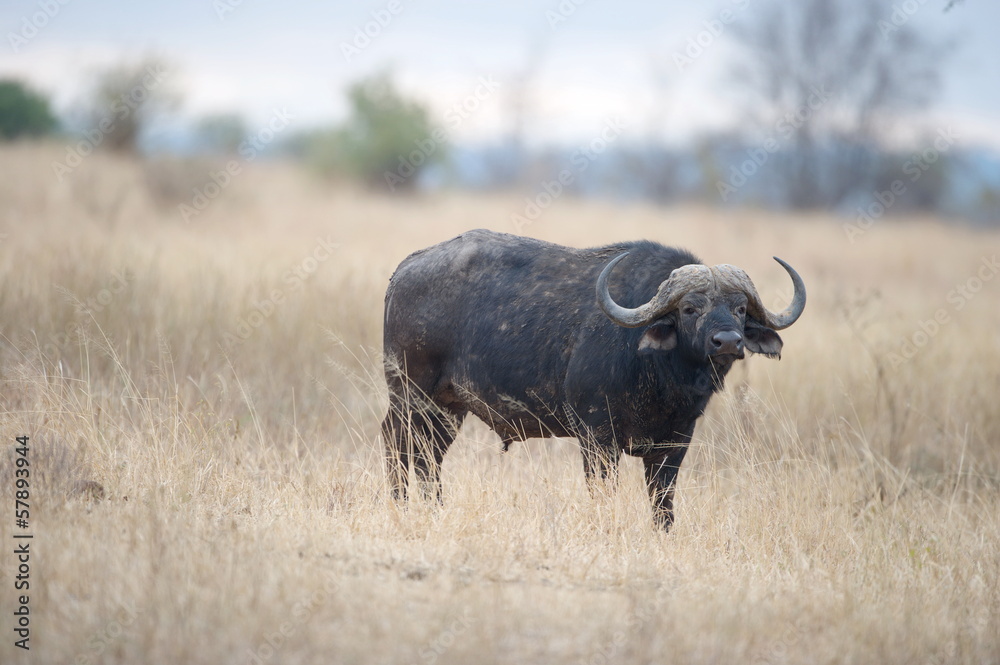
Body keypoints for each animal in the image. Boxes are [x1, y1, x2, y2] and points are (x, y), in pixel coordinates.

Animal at [376, 228, 804, 528]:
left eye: (739, 308)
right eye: (690, 308)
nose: (727, 341)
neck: (662, 378)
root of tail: (403, 271)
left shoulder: (676, 441)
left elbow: (662, 501)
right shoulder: (597, 437)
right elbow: (603, 493)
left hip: (447, 409)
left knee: (428, 456)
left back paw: (434, 510)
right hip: (409, 394)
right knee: (396, 442)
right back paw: (398, 504)